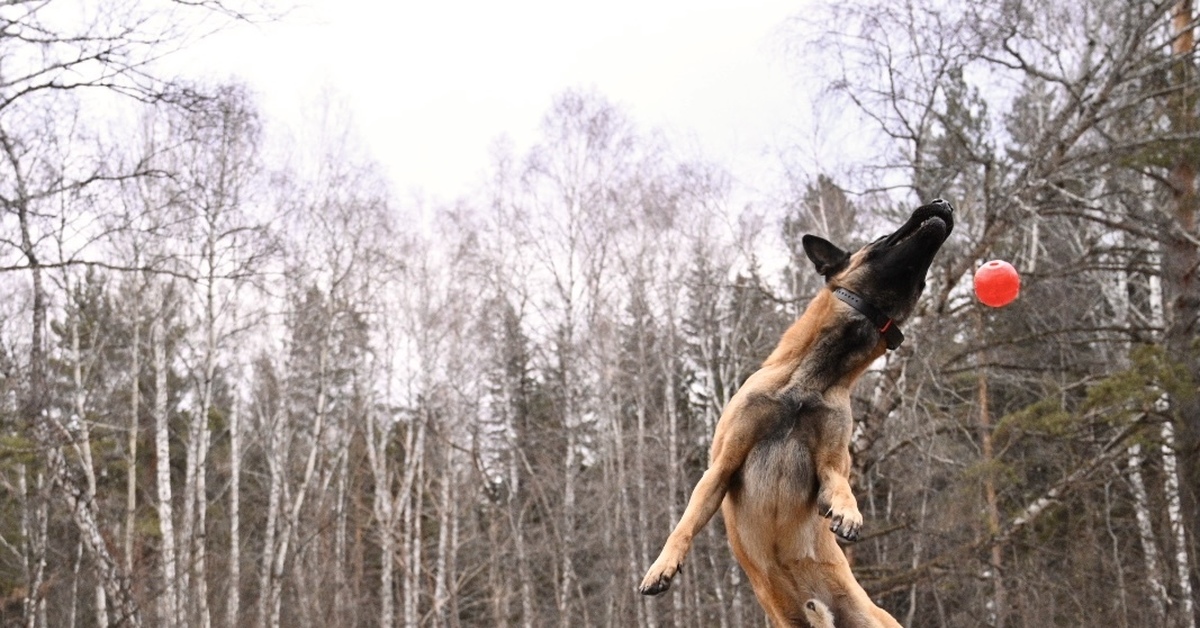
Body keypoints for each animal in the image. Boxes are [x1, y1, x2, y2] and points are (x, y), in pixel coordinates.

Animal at [638, 200, 955, 628]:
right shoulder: (722, 466)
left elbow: (840, 486)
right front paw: (662, 566)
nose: (945, 204)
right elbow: (684, 524)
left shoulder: (831, 465)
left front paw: (848, 512)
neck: (812, 380)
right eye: (881, 237)